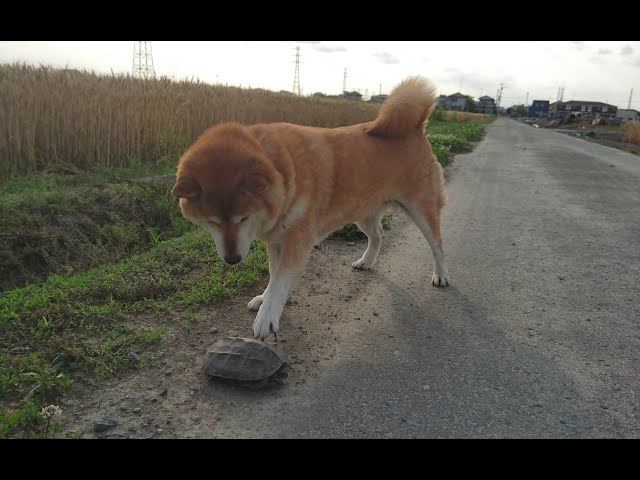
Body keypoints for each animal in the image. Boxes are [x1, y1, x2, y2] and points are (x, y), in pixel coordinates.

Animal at [172, 76, 450, 340]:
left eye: (243, 218)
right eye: (212, 221)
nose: (232, 260)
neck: (284, 173)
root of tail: (415, 128)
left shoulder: (297, 240)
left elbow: (280, 280)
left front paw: (267, 315)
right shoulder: (277, 240)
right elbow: (273, 276)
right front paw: (265, 298)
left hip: (422, 208)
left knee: (437, 245)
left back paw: (441, 275)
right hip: (363, 211)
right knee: (378, 236)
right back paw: (366, 261)